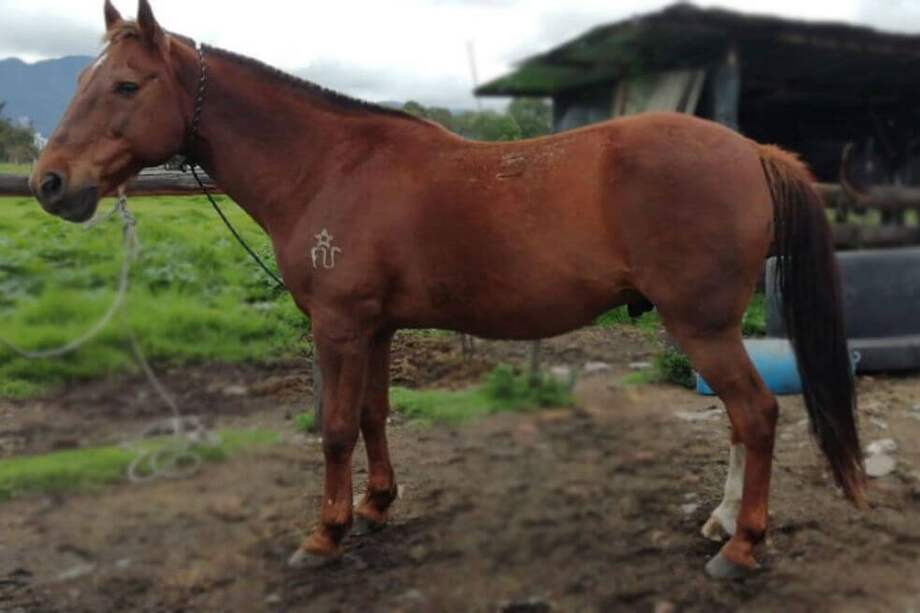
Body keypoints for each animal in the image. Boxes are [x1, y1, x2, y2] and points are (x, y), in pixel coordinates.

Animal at [30, 0, 864, 579]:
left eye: (126, 85)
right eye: (83, 81)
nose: (50, 182)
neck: (330, 166)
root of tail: (752, 150)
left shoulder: (337, 326)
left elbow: (334, 427)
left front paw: (325, 533)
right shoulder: (375, 328)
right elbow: (374, 415)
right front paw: (375, 504)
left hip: (702, 324)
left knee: (755, 414)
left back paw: (742, 546)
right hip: (704, 325)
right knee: (739, 421)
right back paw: (722, 522)